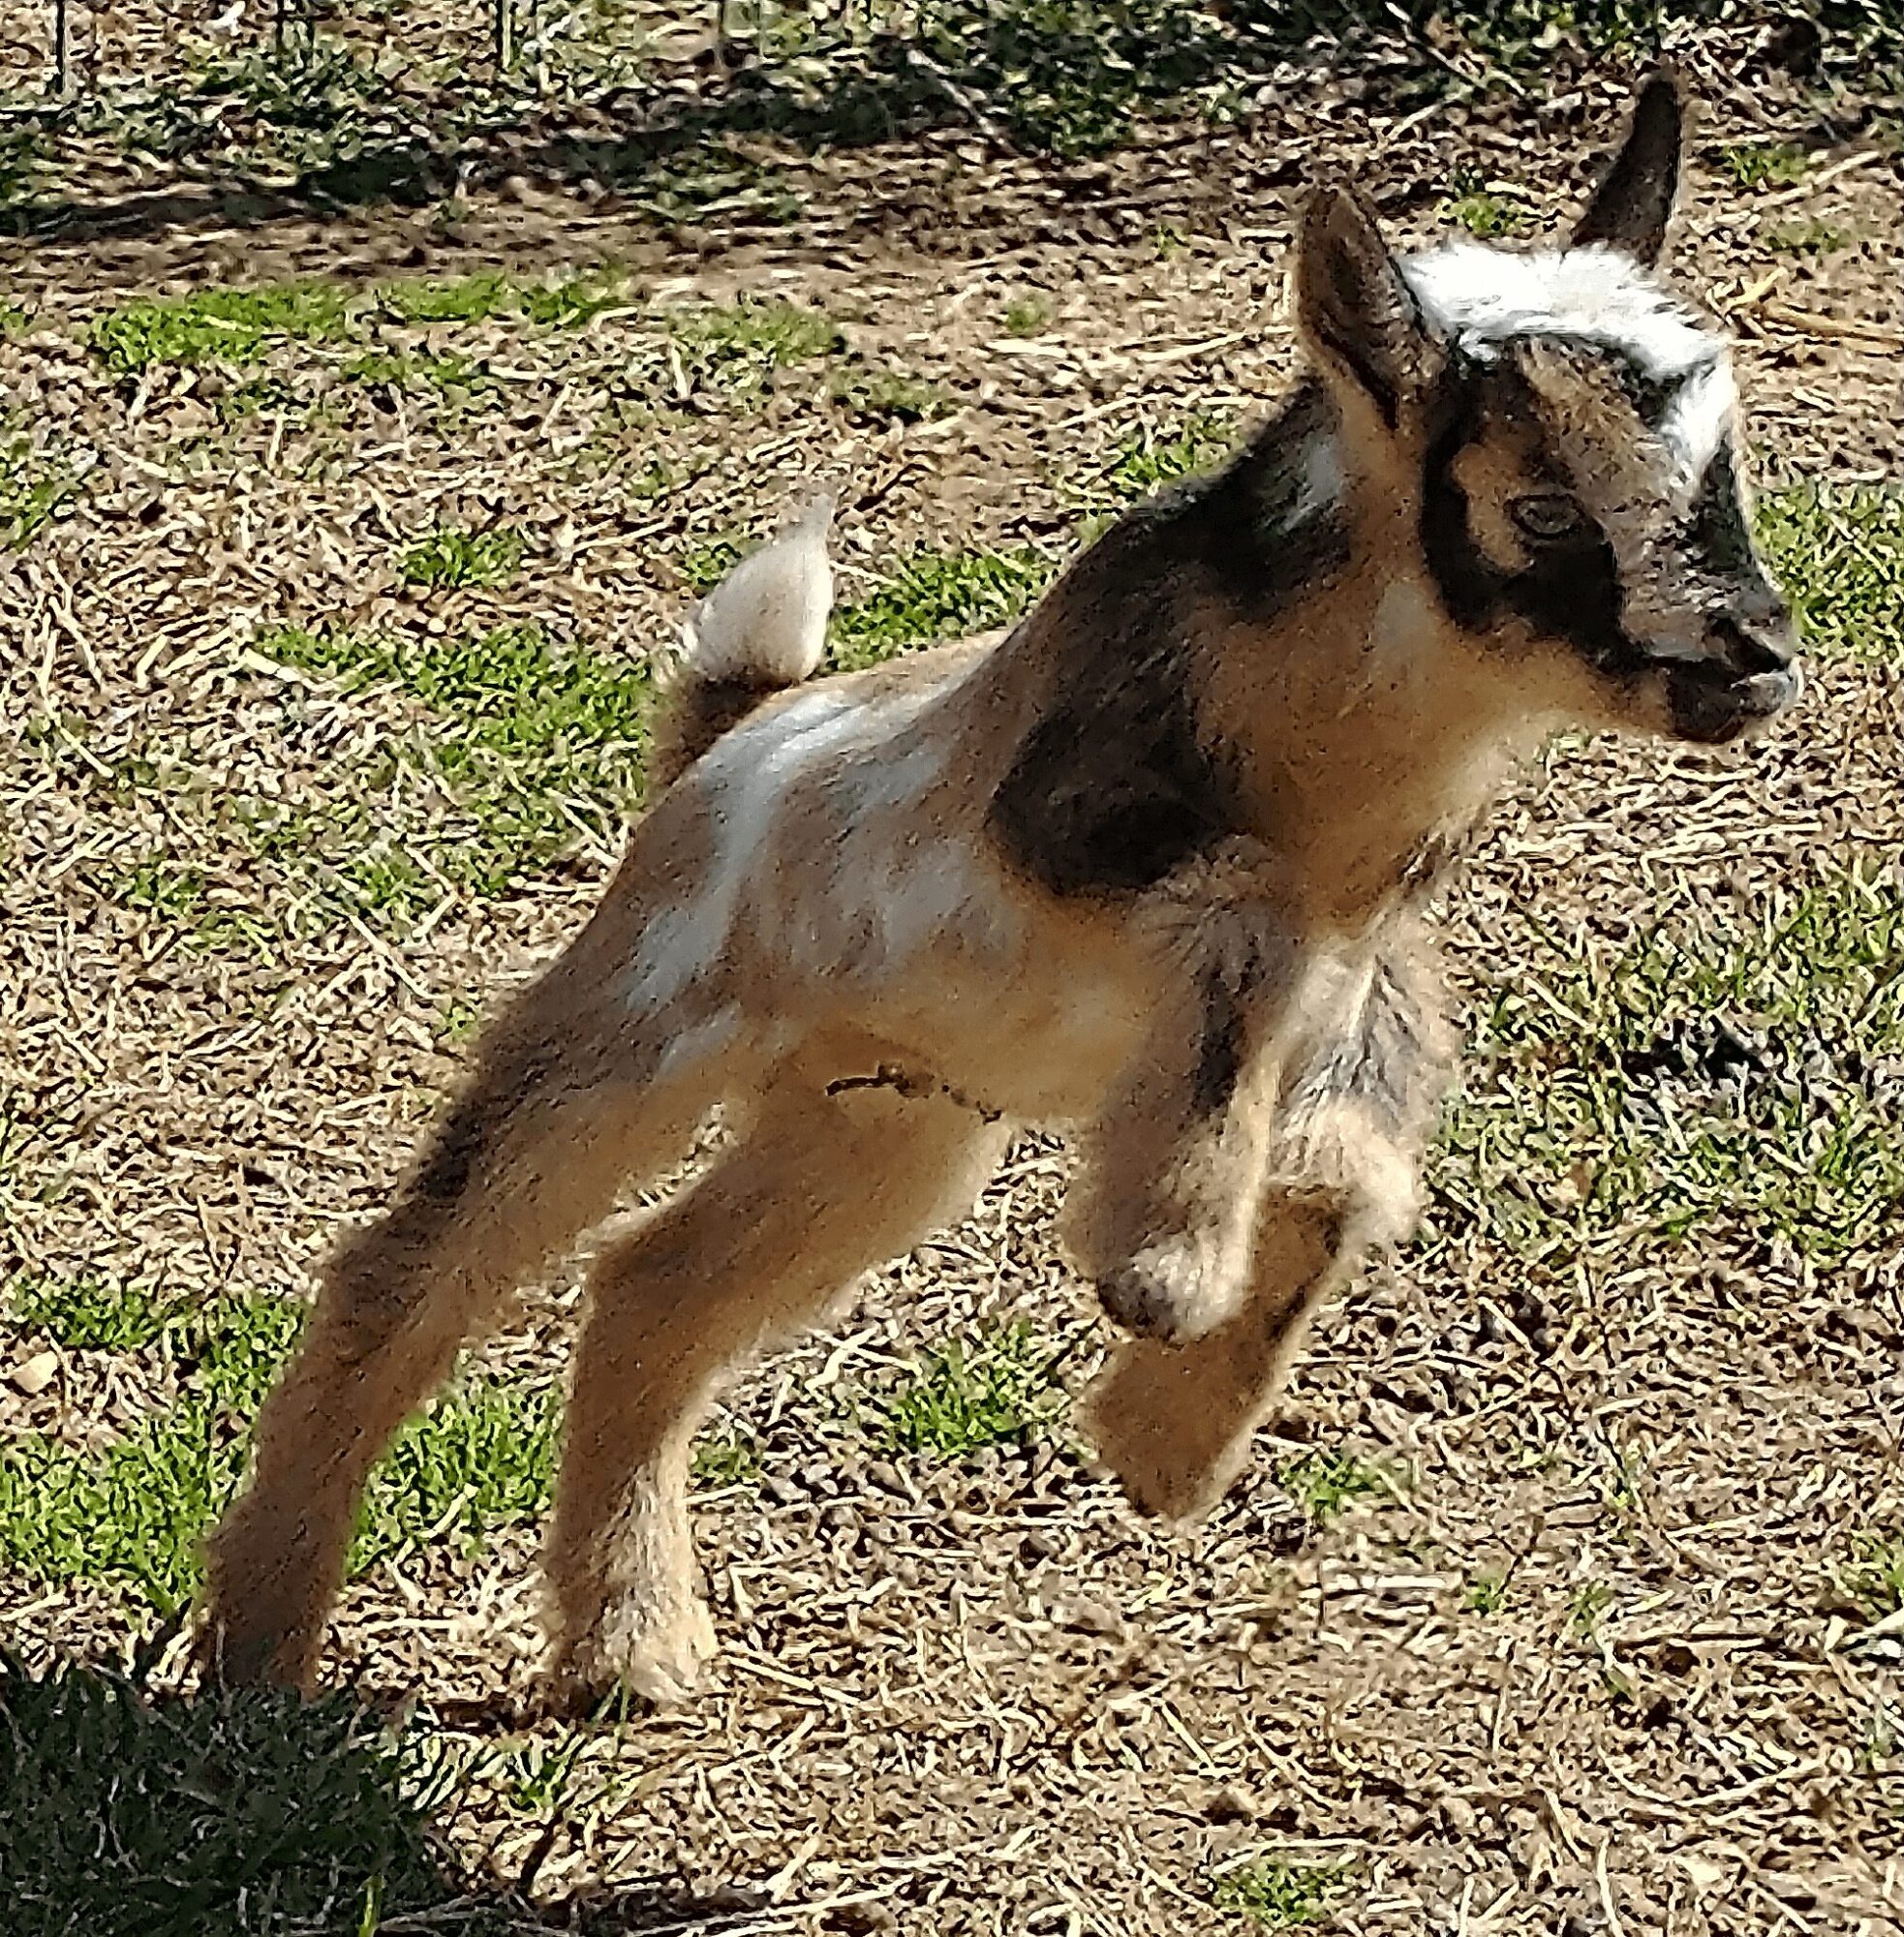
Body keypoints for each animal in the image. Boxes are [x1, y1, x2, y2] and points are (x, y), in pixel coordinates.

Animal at [200, 70, 1802, 1709]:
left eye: (1721, 459)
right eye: (1541, 506)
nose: (1752, 654)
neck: (1323, 760)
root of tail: (730, 736)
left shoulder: (1365, 965)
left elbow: (1343, 1166)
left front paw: (1163, 1444)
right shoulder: (1090, 842)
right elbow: (1240, 922)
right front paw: (1163, 1271)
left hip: (876, 1130)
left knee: (652, 1289)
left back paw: (629, 1651)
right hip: (635, 1030)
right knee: (407, 1274)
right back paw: (258, 1652)